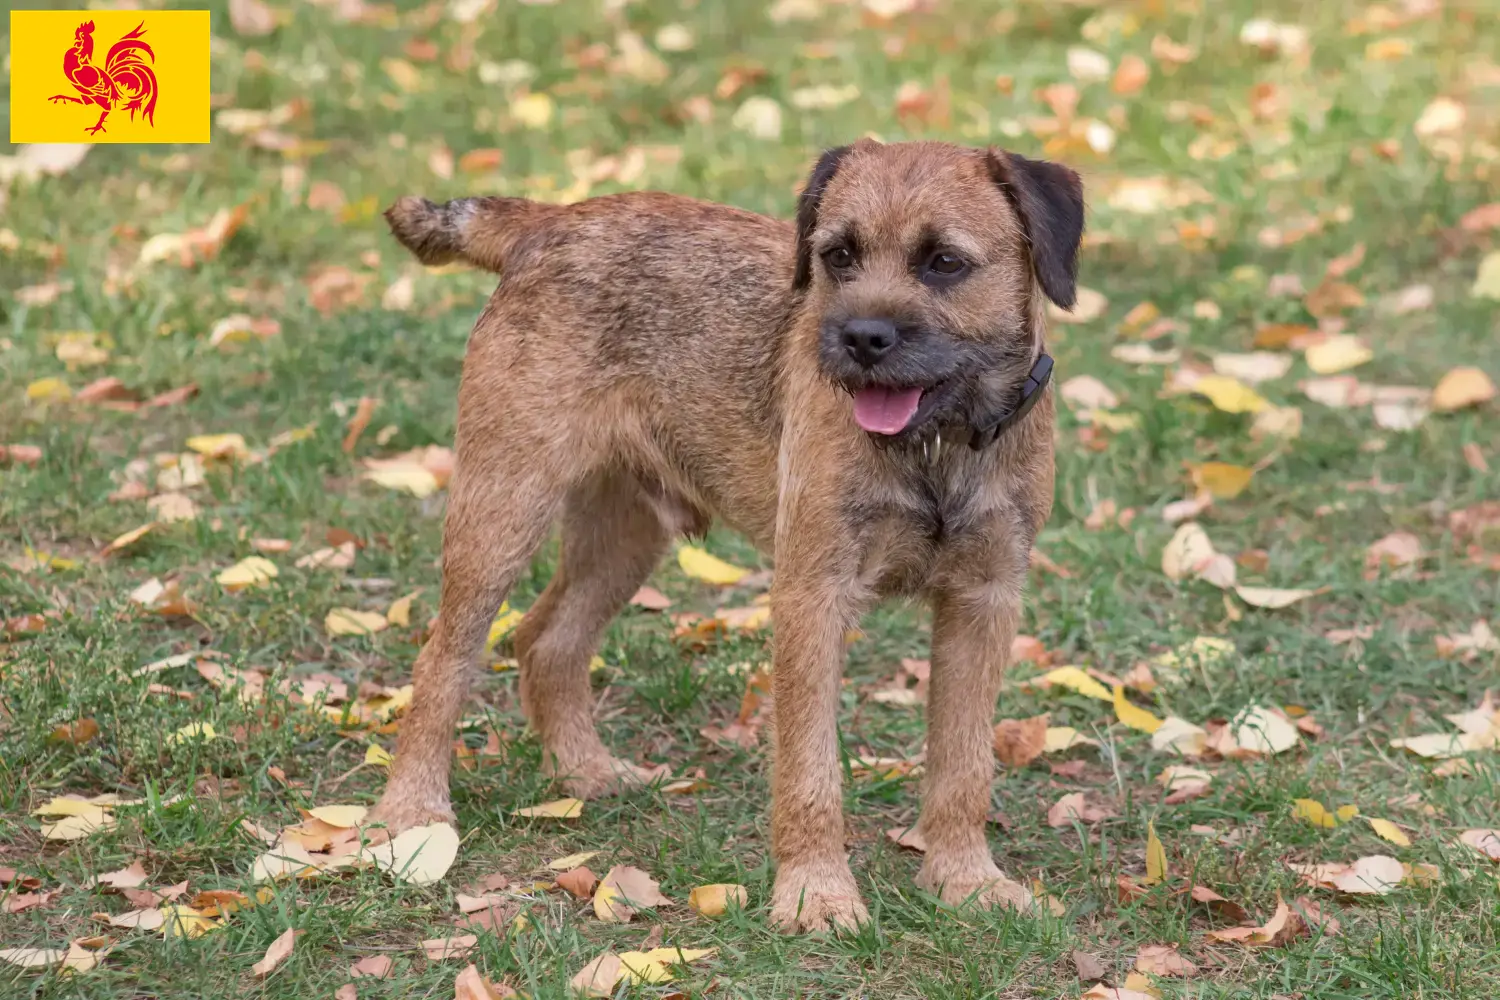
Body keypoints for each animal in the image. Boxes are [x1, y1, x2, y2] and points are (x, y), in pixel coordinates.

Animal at [373, 138, 1080, 929]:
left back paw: (585, 773)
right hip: (502, 508)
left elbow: (964, 763)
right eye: (837, 255)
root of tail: (549, 220)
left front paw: (967, 882)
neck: (939, 446)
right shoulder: (812, 598)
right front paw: (815, 896)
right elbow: (810, 767)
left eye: (946, 263)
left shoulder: (983, 601)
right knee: (443, 659)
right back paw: (411, 815)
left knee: (546, 639)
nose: (860, 338)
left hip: (624, 533)